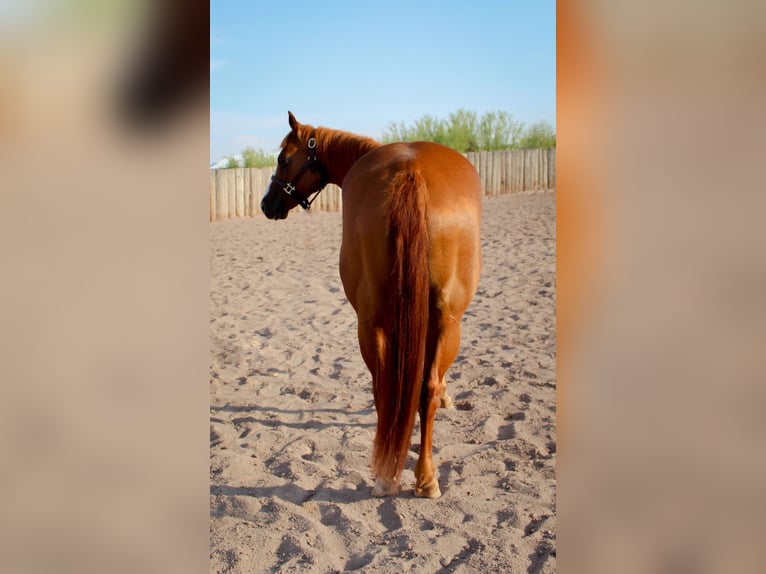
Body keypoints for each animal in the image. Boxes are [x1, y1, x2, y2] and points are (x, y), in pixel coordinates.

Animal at [261, 112, 482, 498]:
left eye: (283, 159)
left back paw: (407, 476)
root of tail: (411, 172)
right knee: (408, 387)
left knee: (398, 387)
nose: (266, 203)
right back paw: (419, 477)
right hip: (430, 319)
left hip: (382, 319)